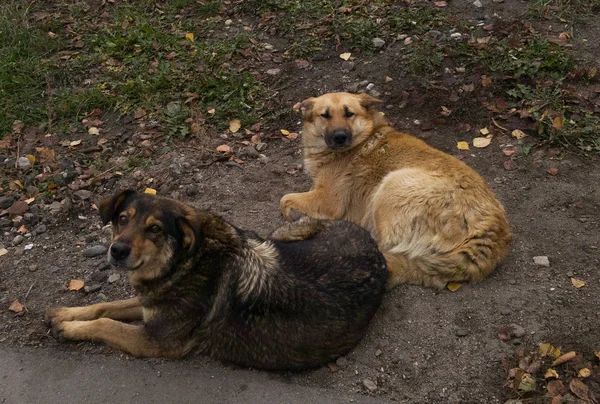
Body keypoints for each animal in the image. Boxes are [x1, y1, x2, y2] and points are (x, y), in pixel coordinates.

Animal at [44, 189, 386, 370]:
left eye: (154, 229)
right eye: (122, 220)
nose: (116, 250)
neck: (186, 261)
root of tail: (378, 252)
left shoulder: (157, 341)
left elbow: (107, 324)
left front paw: (71, 328)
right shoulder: (150, 304)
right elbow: (107, 307)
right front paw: (67, 313)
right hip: (277, 237)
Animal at [282, 92, 510, 288]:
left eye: (349, 113)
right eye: (325, 115)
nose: (339, 137)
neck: (365, 136)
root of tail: (490, 229)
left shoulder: (328, 202)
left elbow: (284, 199)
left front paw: (293, 215)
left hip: (390, 186)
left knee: (382, 256)